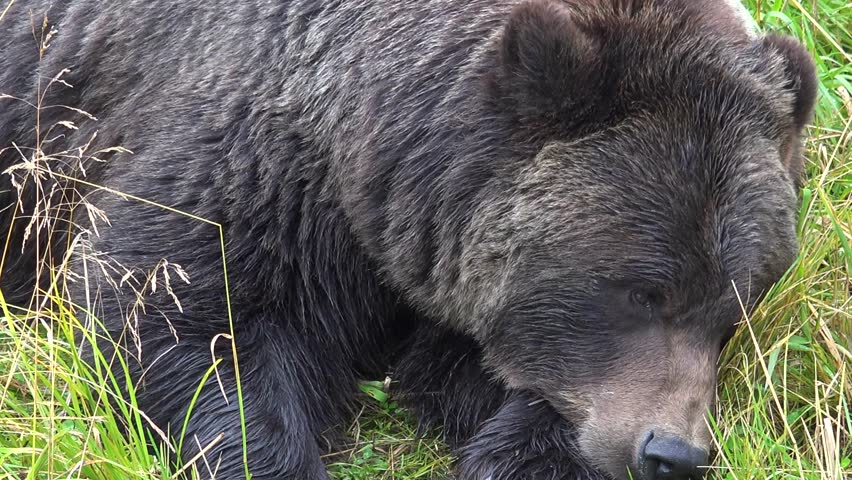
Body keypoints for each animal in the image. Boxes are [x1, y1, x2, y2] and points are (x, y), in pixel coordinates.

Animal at [0, 0, 816, 479]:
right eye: (643, 290)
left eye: (733, 312)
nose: (672, 452)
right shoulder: (253, 161)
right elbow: (176, 311)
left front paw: (516, 455)